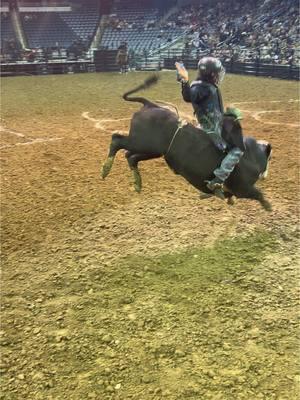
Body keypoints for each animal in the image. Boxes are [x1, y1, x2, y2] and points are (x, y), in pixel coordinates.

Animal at [101, 76, 272, 211]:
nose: (265, 175)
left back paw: (137, 183)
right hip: (140, 142)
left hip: (152, 150)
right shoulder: (243, 188)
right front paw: (268, 206)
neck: (251, 156)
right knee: (117, 140)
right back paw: (106, 169)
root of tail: (150, 105)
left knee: (130, 156)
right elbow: (258, 194)